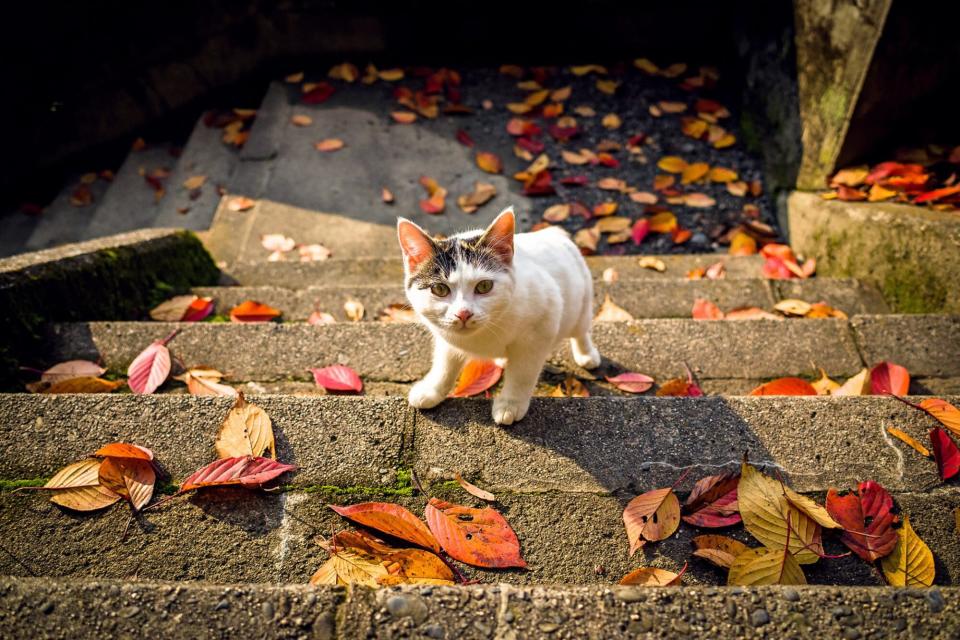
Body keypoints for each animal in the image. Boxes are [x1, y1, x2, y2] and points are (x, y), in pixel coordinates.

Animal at [398, 205, 600, 424]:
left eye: (484, 286)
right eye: (439, 289)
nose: (463, 313)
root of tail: (552, 233)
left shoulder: (541, 327)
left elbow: (522, 373)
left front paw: (511, 404)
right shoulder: (446, 338)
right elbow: (445, 364)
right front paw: (431, 390)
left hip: (581, 304)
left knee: (581, 331)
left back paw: (587, 354)